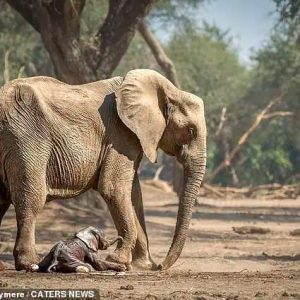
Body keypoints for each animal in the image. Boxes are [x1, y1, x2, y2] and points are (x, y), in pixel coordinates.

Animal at [0, 69, 206, 270]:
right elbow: (114, 188)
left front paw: (142, 266)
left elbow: (134, 195)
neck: (169, 90)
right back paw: (29, 263)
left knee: (1, 200)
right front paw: (119, 261)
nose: (161, 266)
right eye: (190, 130)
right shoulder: (120, 135)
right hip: (25, 137)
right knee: (31, 198)